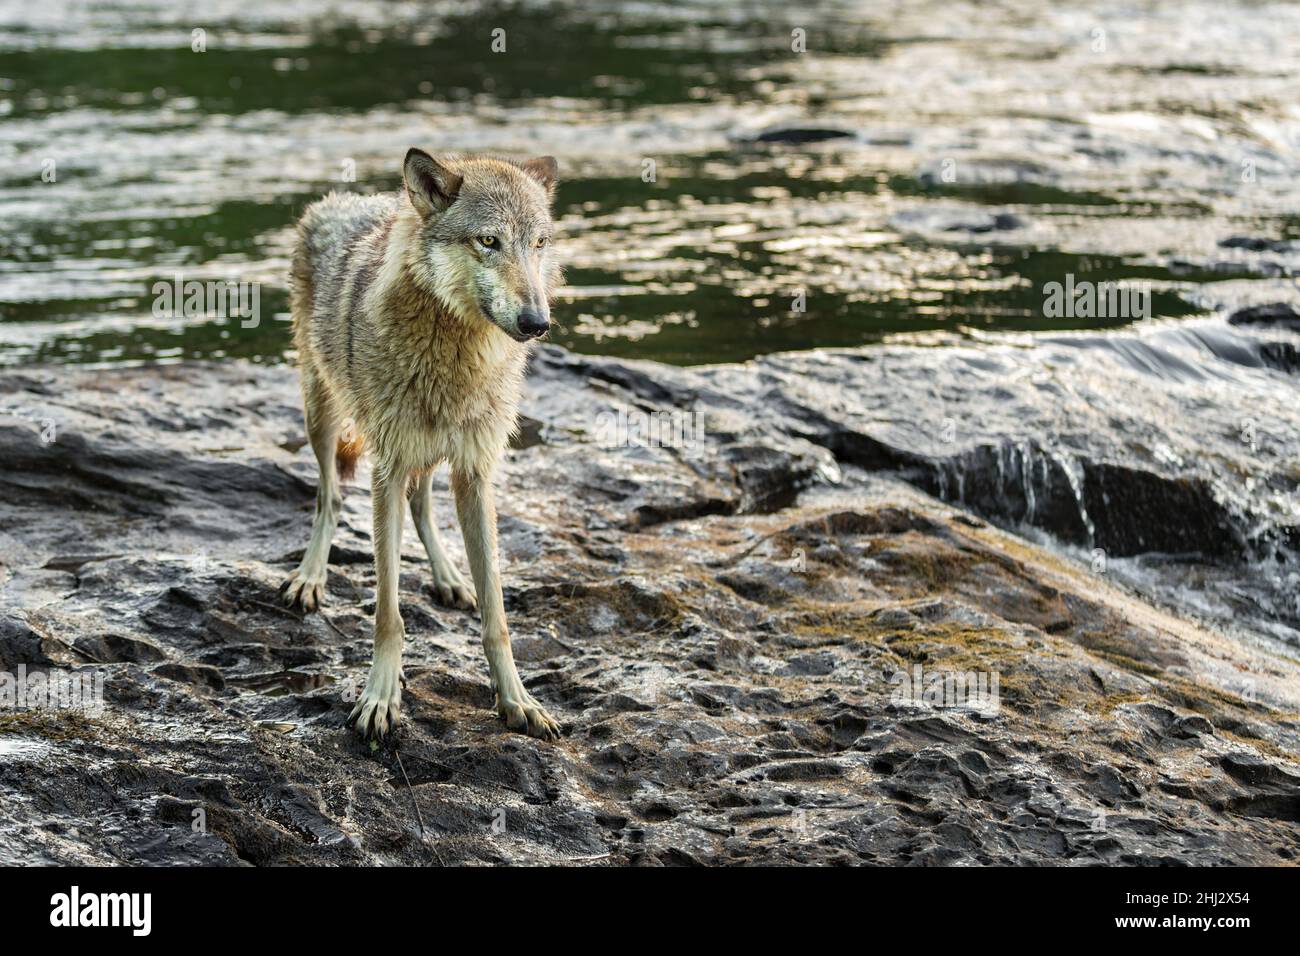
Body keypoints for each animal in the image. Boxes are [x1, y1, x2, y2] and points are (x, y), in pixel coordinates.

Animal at [281, 148, 562, 740]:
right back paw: (310, 577)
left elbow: (497, 617)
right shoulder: (386, 468)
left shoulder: (477, 472)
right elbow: (388, 611)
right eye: (488, 241)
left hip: (434, 452)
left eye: (538, 243)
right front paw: (380, 697)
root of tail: (339, 201)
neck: (455, 349)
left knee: (422, 502)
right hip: (322, 412)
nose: (537, 322)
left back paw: (450, 577)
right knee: (328, 497)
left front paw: (517, 699)